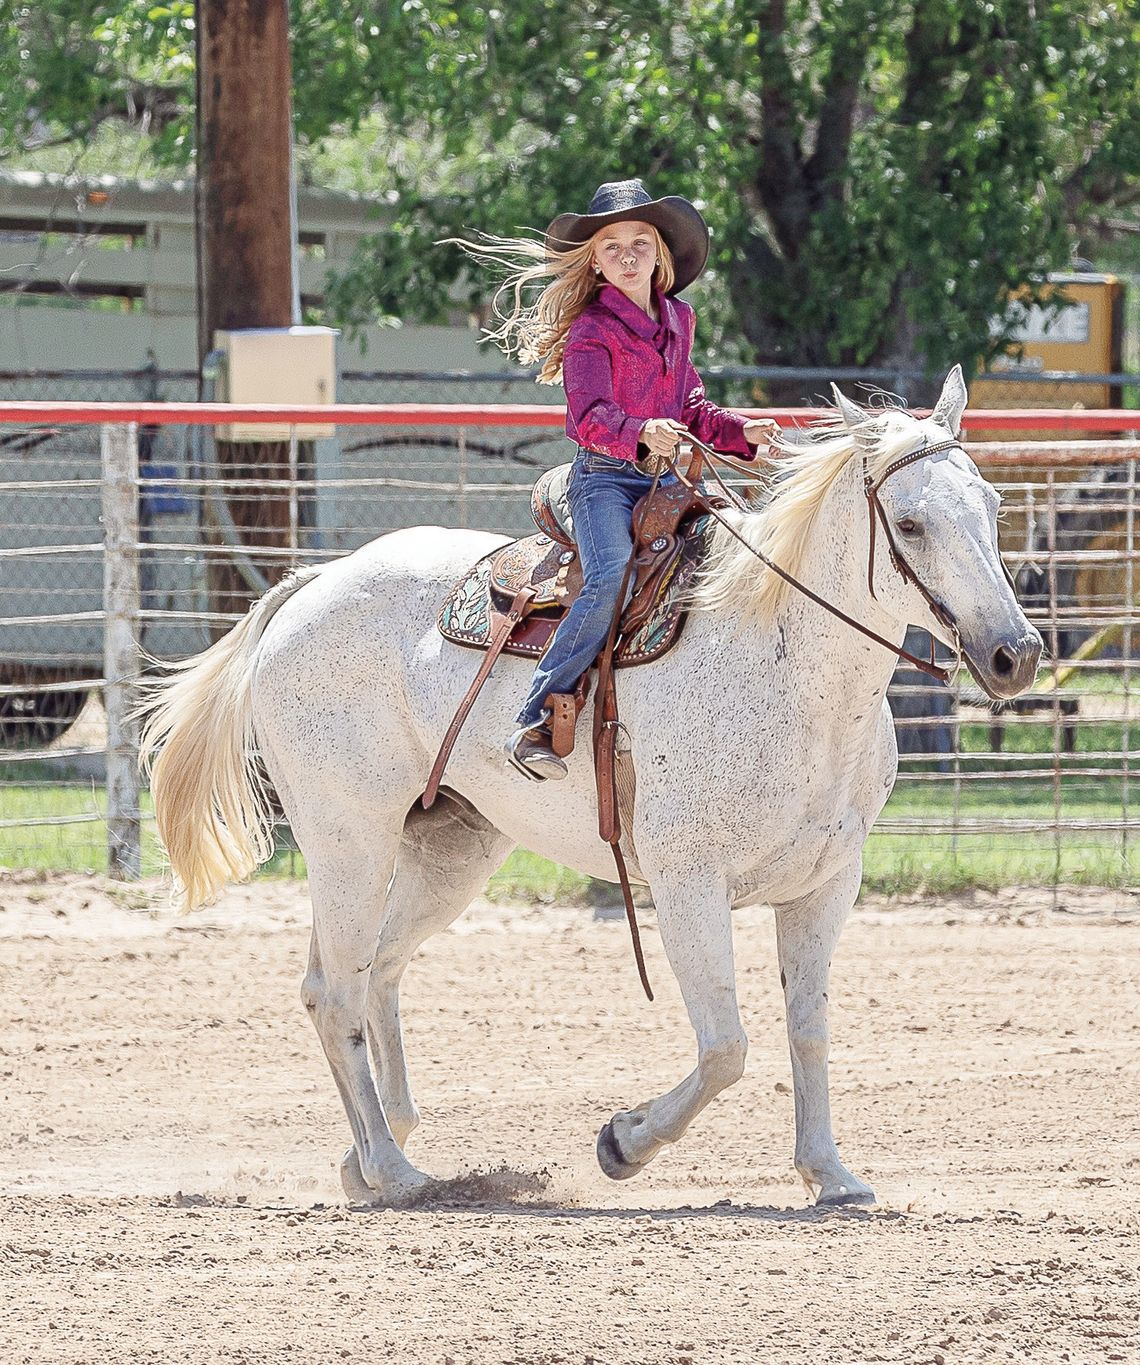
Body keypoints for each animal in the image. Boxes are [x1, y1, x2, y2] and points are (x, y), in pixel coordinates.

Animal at [140, 365, 1043, 1206]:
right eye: (913, 523)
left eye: (992, 504)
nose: (1016, 653)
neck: (789, 668)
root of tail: (313, 584)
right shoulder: (687, 882)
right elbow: (727, 1045)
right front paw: (624, 1141)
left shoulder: (826, 884)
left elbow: (807, 1030)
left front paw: (829, 1172)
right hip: (347, 839)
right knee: (334, 990)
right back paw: (394, 1170)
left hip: (448, 846)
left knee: (373, 973)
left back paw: (369, 1150)